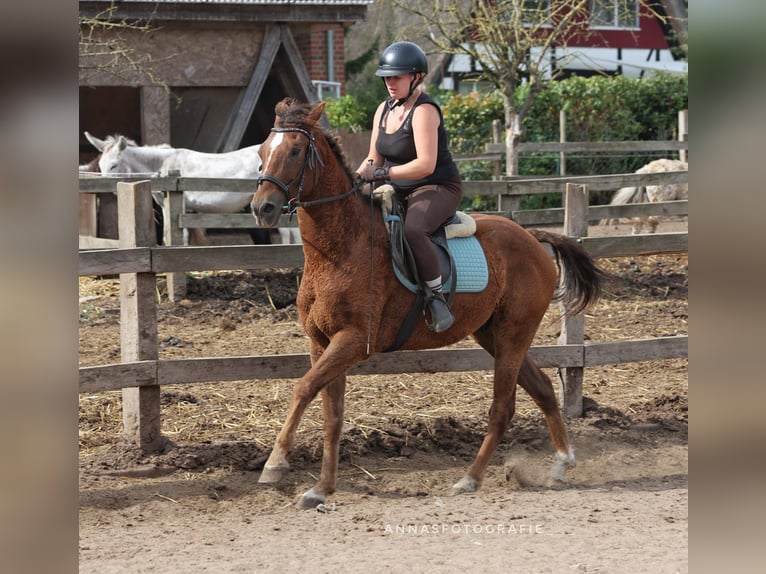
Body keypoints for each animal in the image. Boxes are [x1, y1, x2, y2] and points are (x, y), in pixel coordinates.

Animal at [83, 133, 300, 245]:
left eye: (113, 165)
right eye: (100, 166)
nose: (103, 191)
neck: (163, 164)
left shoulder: (179, 205)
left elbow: (181, 234)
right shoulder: (167, 206)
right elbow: (168, 234)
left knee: (289, 231)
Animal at [255, 98, 608, 508]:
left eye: (295, 150)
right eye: (262, 151)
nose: (261, 208)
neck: (338, 250)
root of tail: (531, 237)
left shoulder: (353, 341)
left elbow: (303, 389)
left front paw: (276, 465)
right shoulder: (322, 342)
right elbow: (332, 415)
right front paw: (321, 488)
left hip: (513, 335)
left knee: (503, 408)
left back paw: (470, 478)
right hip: (495, 336)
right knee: (544, 390)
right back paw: (561, 465)